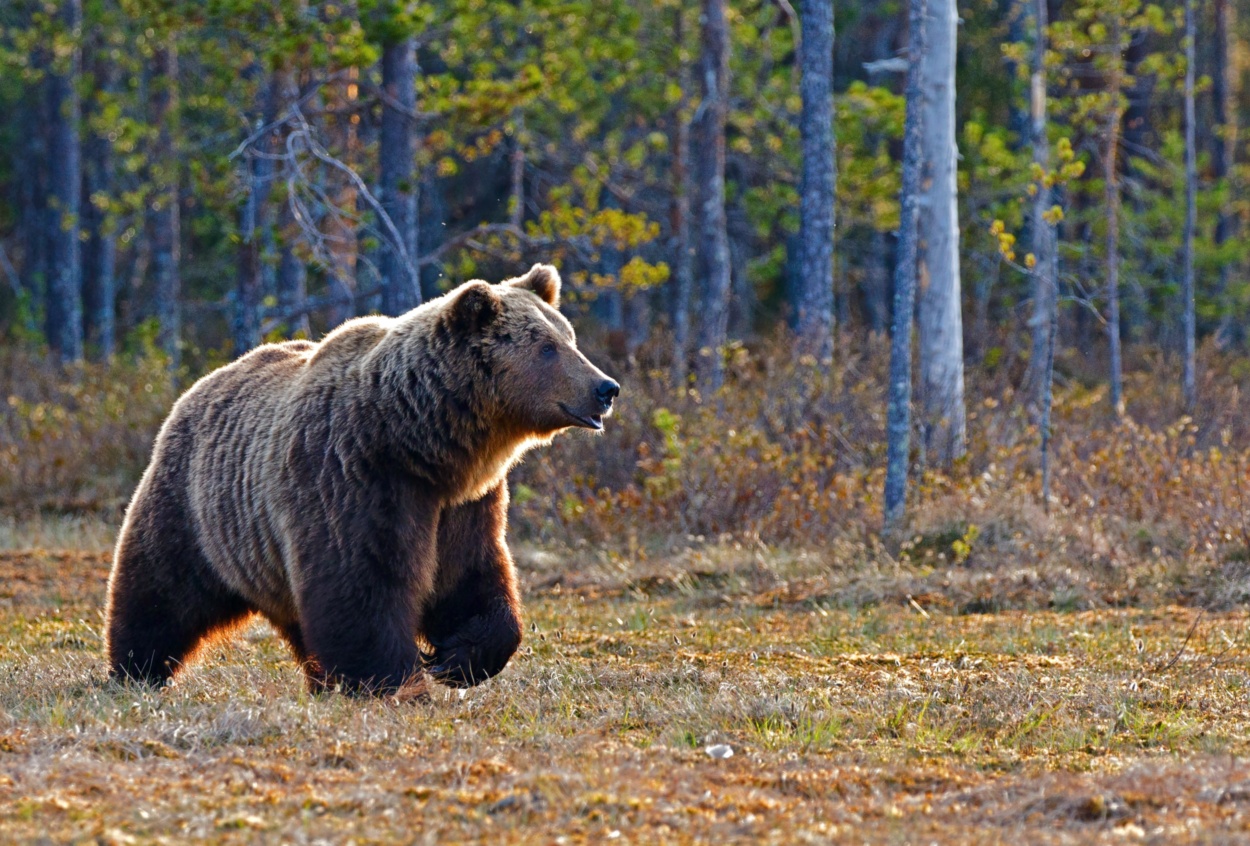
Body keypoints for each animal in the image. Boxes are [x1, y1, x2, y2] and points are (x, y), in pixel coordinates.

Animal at [106, 263, 620, 694]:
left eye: (569, 338)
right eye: (547, 347)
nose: (606, 387)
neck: (421, 442)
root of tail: (199, 385)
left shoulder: (465, 503)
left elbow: (470, 576)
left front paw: (457, 658)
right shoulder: (353, 477)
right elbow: (362, 585)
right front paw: (396, 680)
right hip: (197, 507)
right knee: (160, 590)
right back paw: (134, 670)